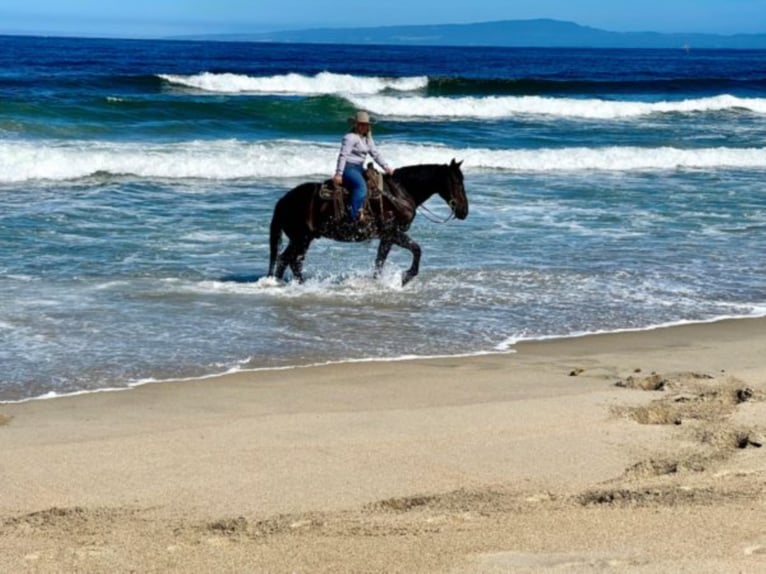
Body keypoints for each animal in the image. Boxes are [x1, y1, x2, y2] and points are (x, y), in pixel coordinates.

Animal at [268, 160, 472, 286]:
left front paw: (377, 282)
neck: (399, 192)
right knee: (287, 260)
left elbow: (380, 260)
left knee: (291, 261)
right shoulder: (393, 233)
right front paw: (406, 278)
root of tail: (283, 200)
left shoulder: (387, 237)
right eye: (457, 182)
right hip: (300, 238)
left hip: (304, 239)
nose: (464, 211)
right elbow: (417, 250)